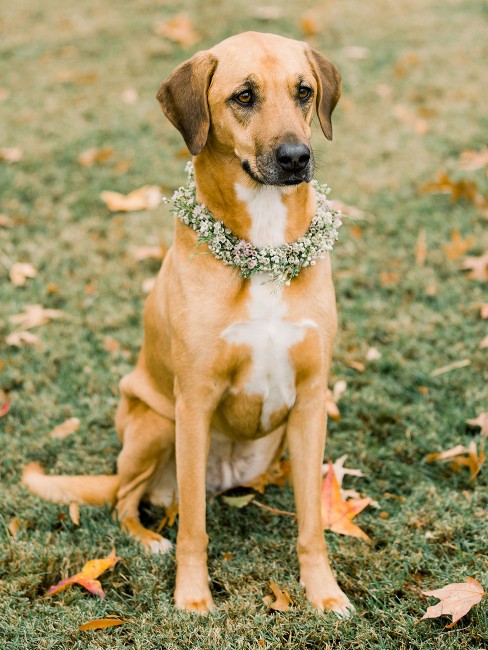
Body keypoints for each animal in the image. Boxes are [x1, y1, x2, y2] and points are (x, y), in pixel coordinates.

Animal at [23, 31, 352, 616]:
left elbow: (312, 524)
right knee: (124, 500)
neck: (264, 246)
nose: (297, 158)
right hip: (156, 426)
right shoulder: (194, 401)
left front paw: (324, 593)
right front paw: (193, 597)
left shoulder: (313, 399)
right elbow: (194, 526)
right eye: (243, 96)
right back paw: (149, 539)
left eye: (304, 92)